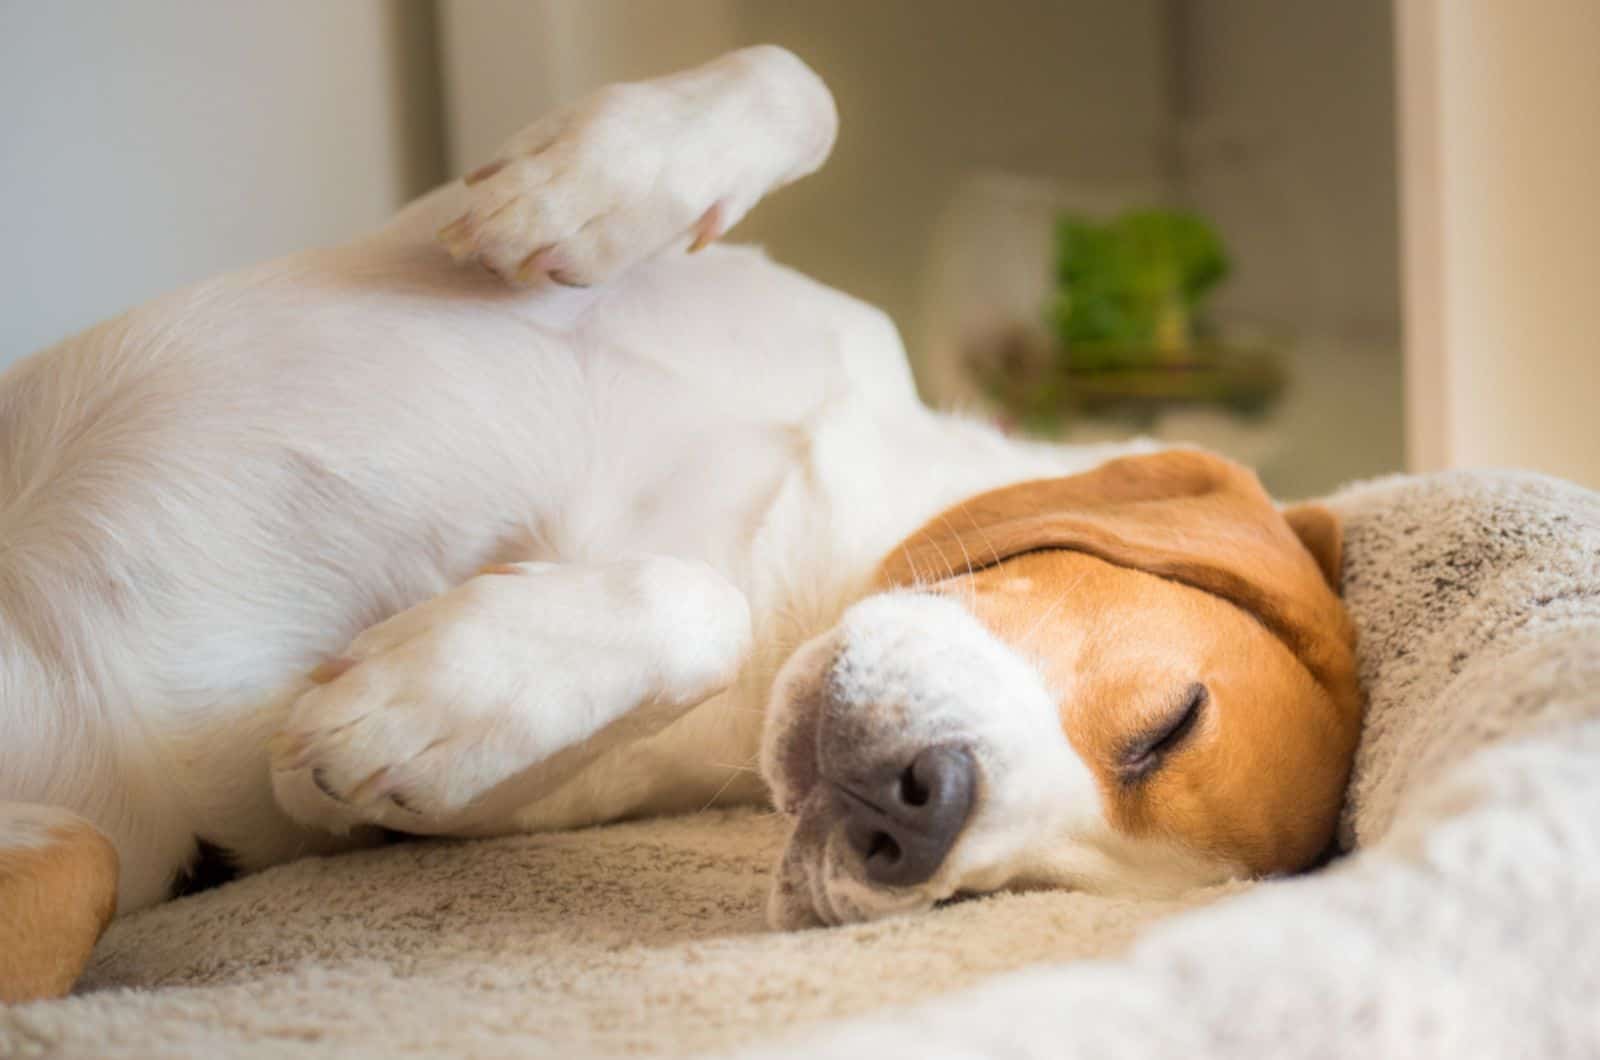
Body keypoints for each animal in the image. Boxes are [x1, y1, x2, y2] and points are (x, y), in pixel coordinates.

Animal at [0, 45, 1363, 999]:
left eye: (1011, 895)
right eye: (1166, 725)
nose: (920, 817)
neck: (815, 540)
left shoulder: (382, 818)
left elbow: (691, 608)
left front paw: (413, 701)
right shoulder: (409, 230)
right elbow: (798, 83)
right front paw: (580, 186)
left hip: (86, 860)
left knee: (85, 862)